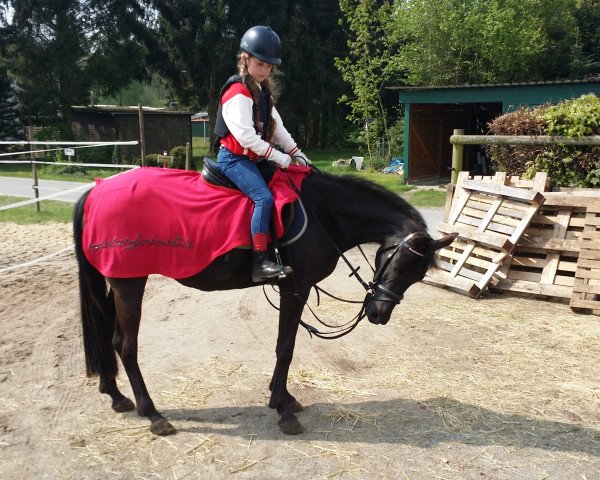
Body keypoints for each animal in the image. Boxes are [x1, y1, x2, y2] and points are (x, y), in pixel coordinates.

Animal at [74, 167, 454, 436]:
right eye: (400, 264)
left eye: (418, 275)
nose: (378, 313)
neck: (323, 212)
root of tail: (97, 190)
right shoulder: (295, 289)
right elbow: (285, 347)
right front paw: (282, 408)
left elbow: (286, 346)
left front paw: (283, 397)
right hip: (130, 285)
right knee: (126, 345)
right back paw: (152, 413)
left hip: (117, 285)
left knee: (110, 339)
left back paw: (116, 395)